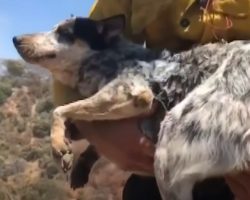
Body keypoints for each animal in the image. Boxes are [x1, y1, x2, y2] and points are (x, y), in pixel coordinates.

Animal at [12, 14, 250, 199]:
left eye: (63, 32)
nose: (15, 38)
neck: (111, 56)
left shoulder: (134, 94)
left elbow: (60, 110)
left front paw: (57, 141)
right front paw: (77, 157)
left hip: (169, 151)